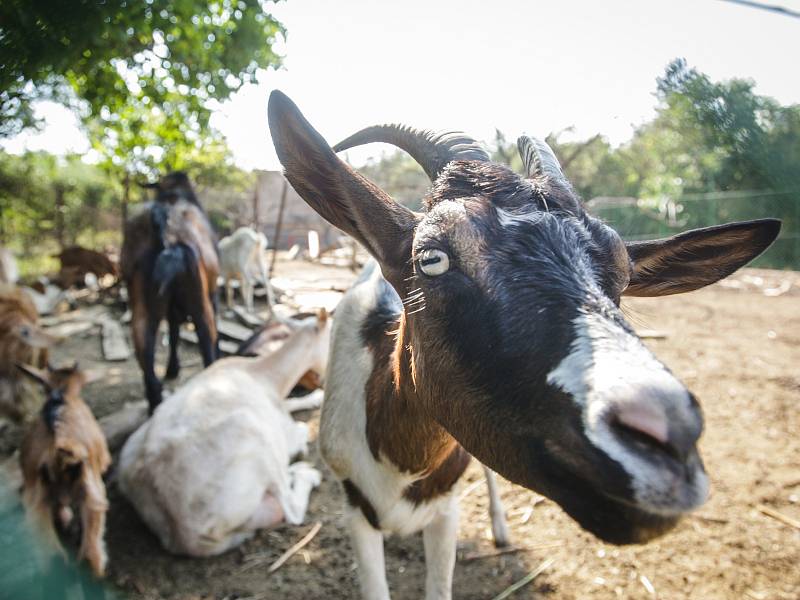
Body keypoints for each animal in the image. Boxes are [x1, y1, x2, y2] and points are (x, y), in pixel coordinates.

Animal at [17, 364, 111, 580]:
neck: (62, 397)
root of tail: (59, 446)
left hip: (37, 506)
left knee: (53, 558)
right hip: (94, 497)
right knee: (90, 554)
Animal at [119, 171, 219, 410]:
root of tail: (165, 235)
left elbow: (173, 333)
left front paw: (172, 369)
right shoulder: (213, 293)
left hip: (142, 300)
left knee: (145, 350)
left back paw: (154, 403)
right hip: (200, 299)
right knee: (206, 339)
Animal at [119, 312, 332, 556]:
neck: (267, 377)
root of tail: (184, 536)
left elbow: (293, 402)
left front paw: (315, 397)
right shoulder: (281, 429)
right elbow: (300, 431)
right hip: (253, 436)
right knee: (290, 509)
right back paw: (306, 473)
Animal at [268, 90, 780, 600]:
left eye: (622, 273)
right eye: (431, 258)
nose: (671, 438)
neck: (399, 460)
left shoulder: (446, 508)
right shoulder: (355, 510)